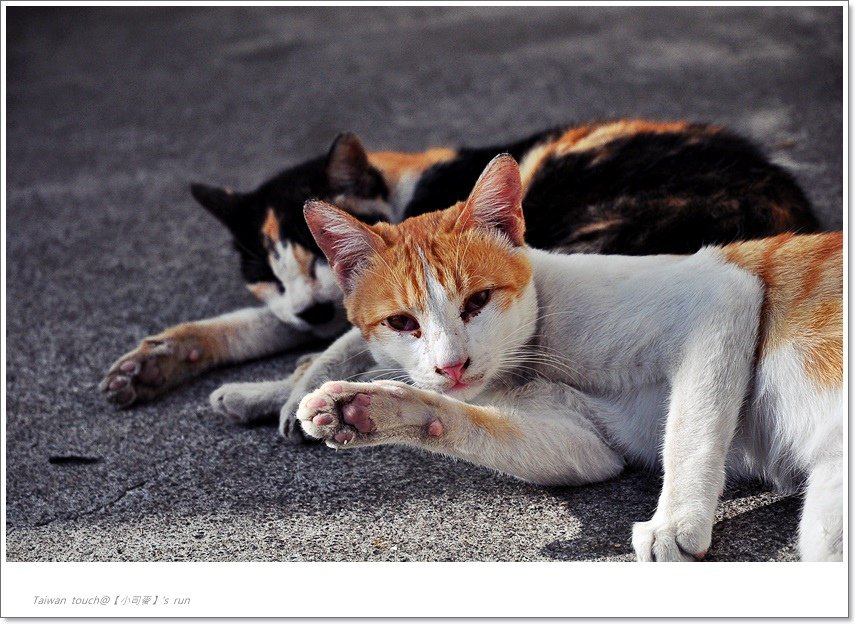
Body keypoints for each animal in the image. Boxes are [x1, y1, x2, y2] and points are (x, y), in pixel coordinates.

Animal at [97, 121, 820, 414]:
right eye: (268, 273)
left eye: (310, 259)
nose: (308, 305)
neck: (399, 188)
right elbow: (258, 319)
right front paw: (155, 360)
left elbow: (341, 342)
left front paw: (286, 385)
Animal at [272, 155, 844, 560]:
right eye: (401, 323)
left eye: (478, 301)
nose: (452, 365)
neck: (535, 352)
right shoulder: (588, 444)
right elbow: (466, 422)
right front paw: (365, 409)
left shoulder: (720, 296)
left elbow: (689, 427)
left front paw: (677, 522)